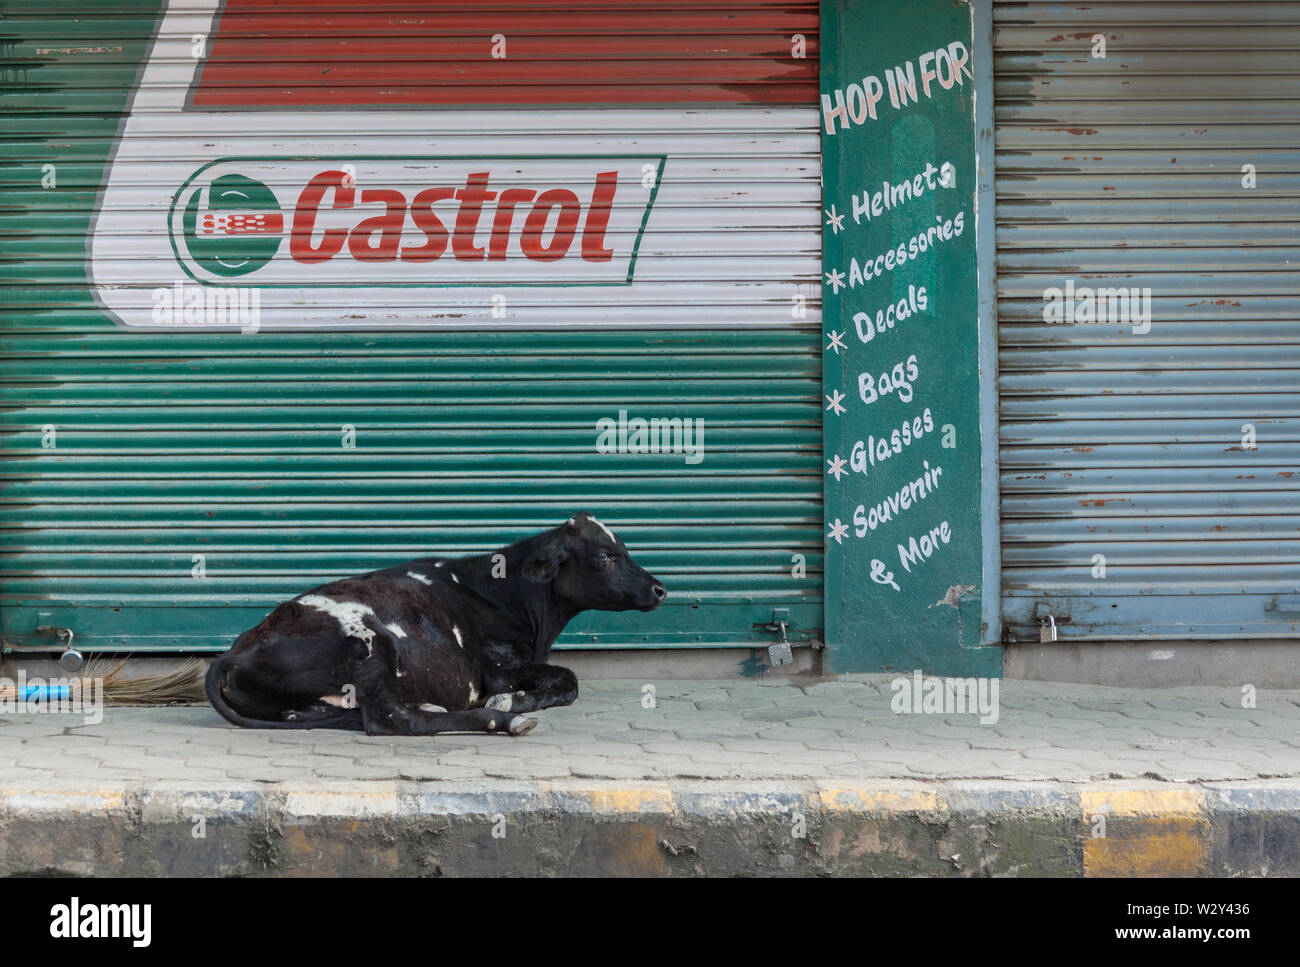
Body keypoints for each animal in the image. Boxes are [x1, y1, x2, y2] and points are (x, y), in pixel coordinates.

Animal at [204, 512, 665, 736]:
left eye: (625, 549)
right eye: (606, 556)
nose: (659, 589)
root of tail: (234, 649)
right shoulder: (496, 668)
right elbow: (569, 680)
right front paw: (510, 703)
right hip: (368, 647)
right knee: (392, 720)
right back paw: (497, 721)